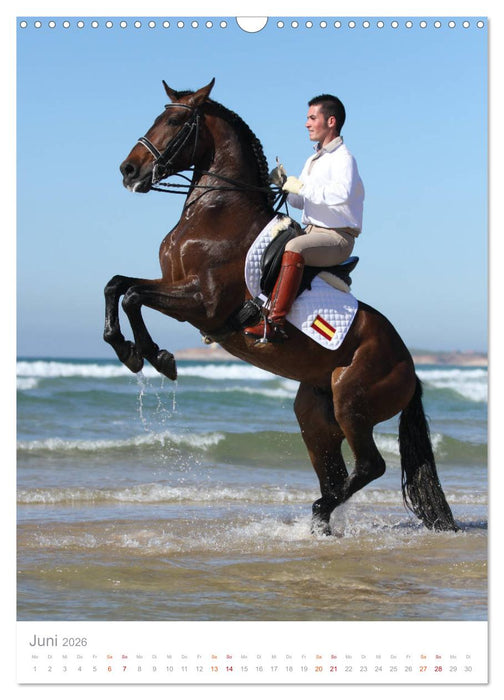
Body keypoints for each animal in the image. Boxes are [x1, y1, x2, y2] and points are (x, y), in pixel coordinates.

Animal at [104, 78, 458, 535]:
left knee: (369, 466)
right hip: (315, 414)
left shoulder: (203, 302)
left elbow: (133, 295)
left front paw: (154, 356)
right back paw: (321, 525)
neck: (215, 212)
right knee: (336, 472)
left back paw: (319, 511)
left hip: (352, 401)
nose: (129, 170)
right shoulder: (173, 285)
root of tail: (411, 368)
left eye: (178, 122)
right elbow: (118, 286)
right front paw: (130, 350)